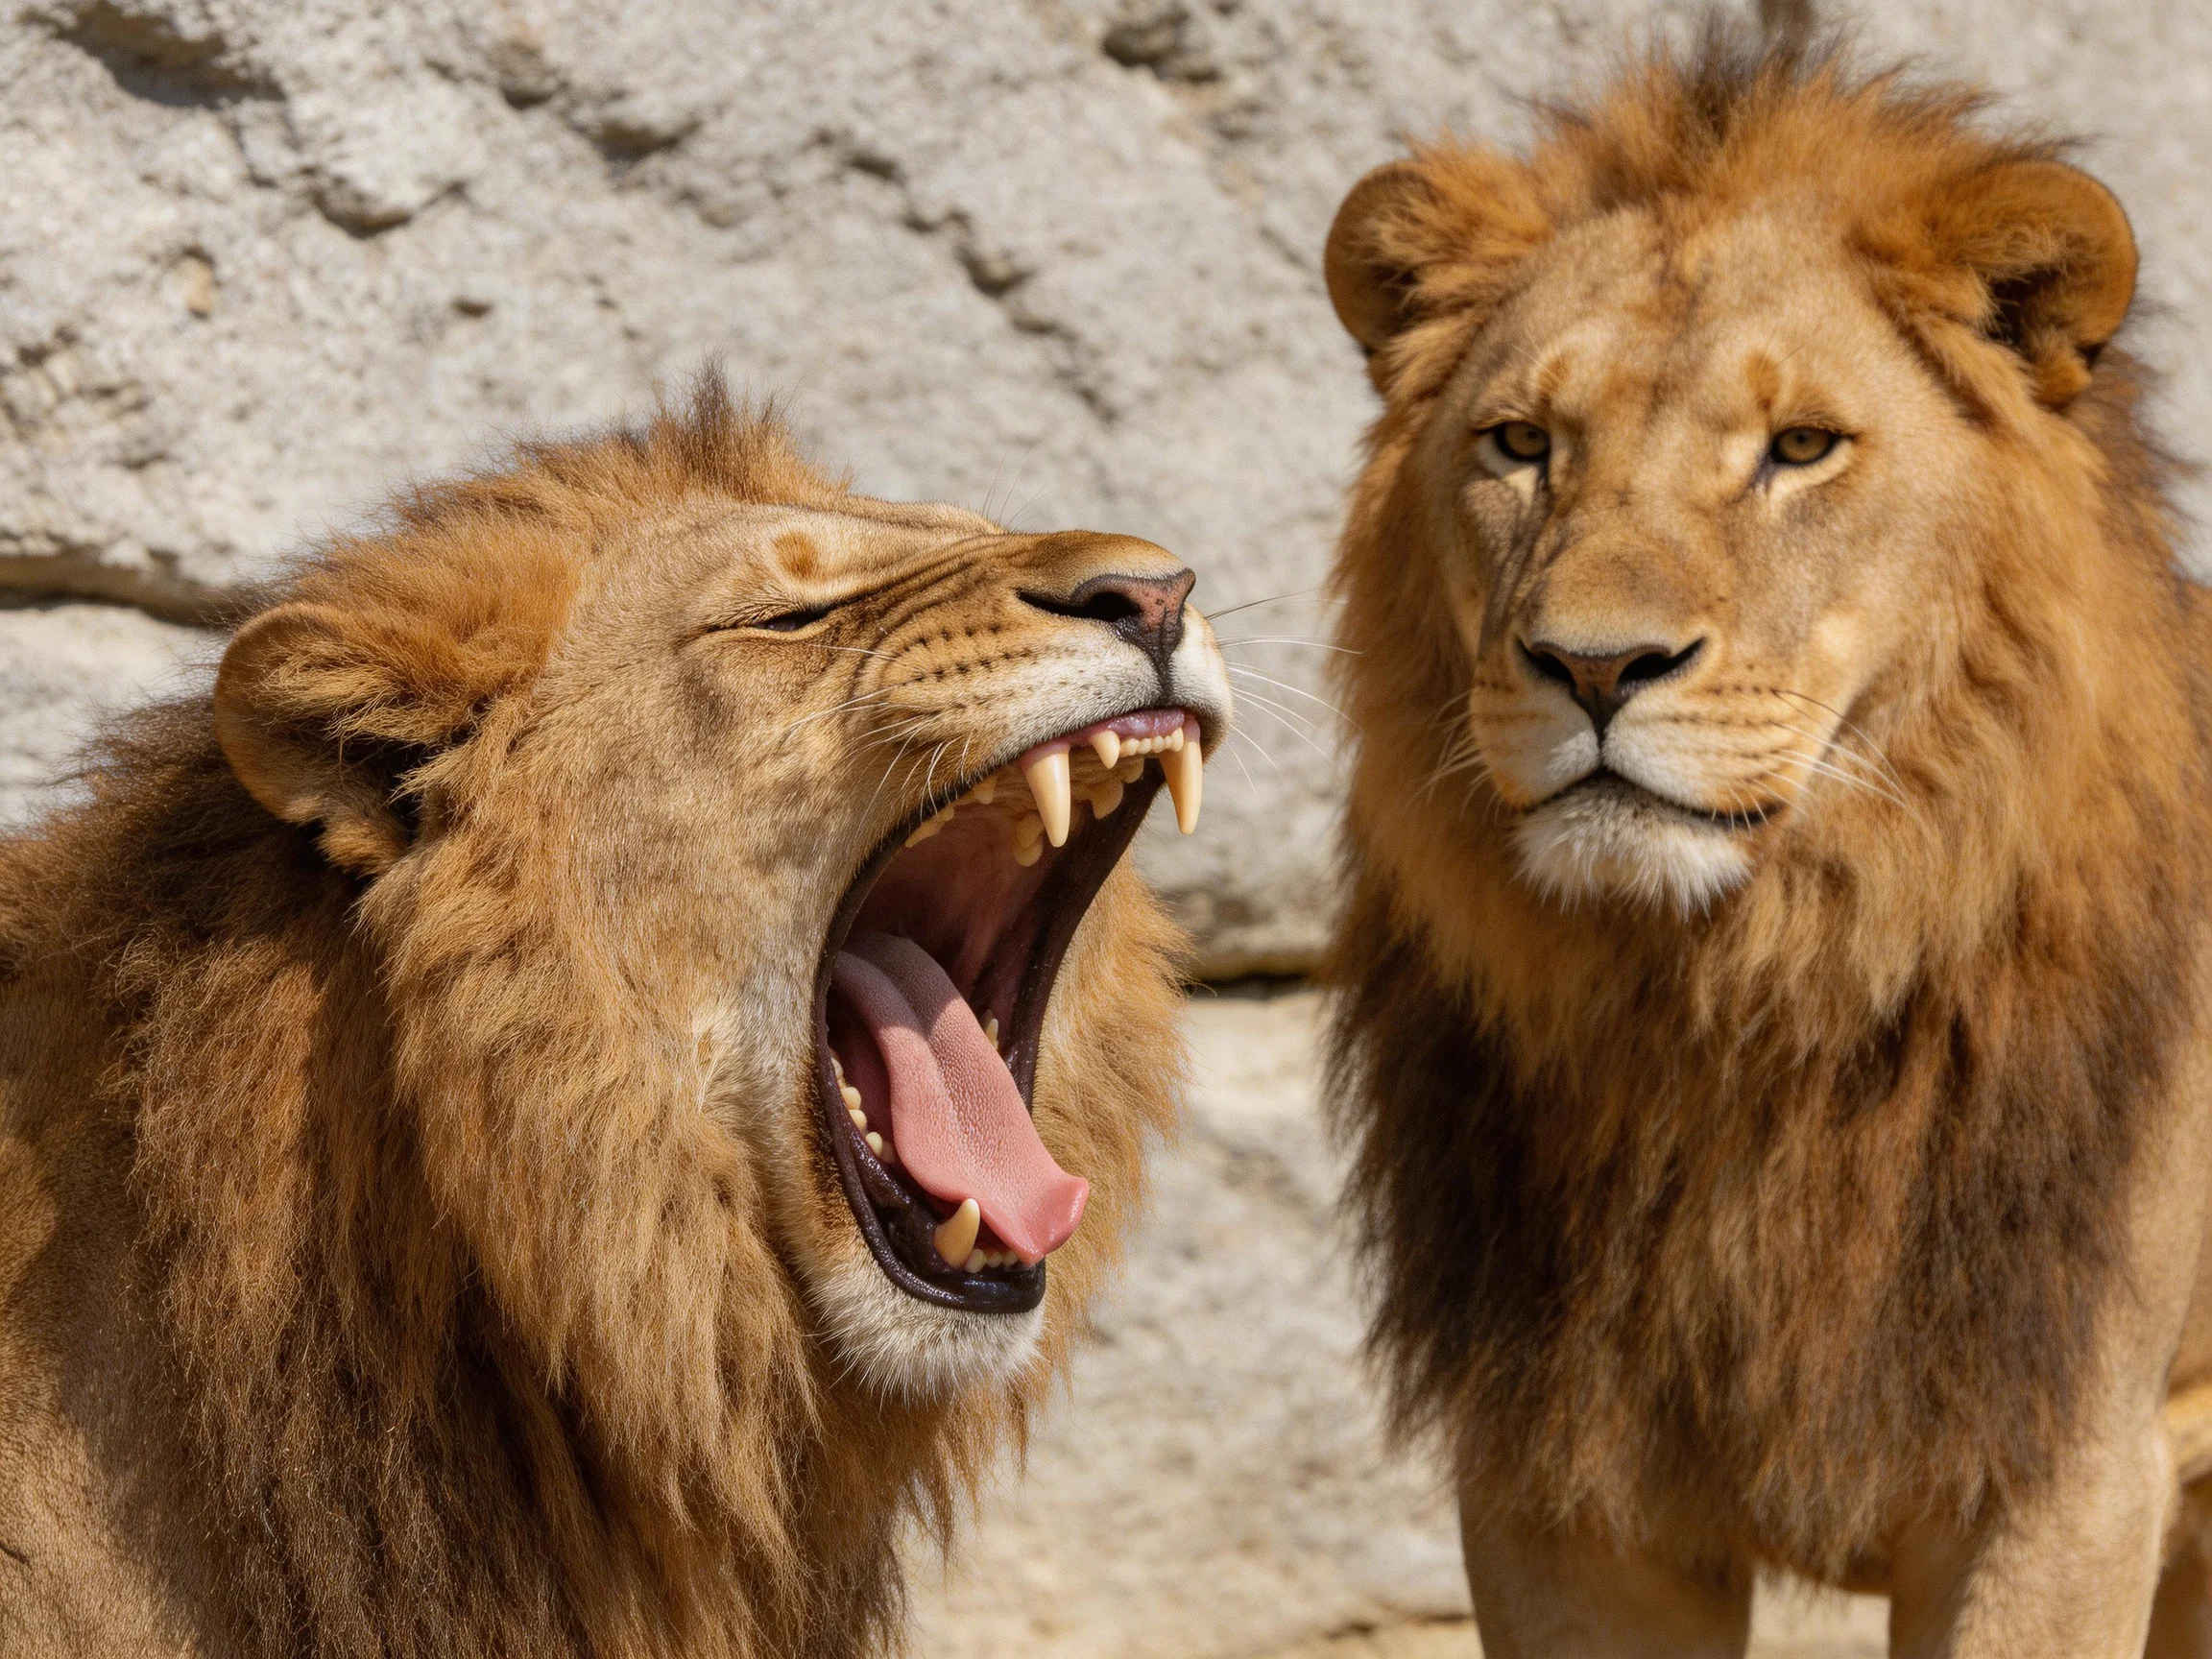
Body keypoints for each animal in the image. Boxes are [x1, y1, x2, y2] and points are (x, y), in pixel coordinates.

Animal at [1319, 28, 2212, 1659]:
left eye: (1800, 448)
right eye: (1521, 444)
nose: (1595, 667)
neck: (1736, 1005)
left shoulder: (2065, 1474)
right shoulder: (1563, 1484)